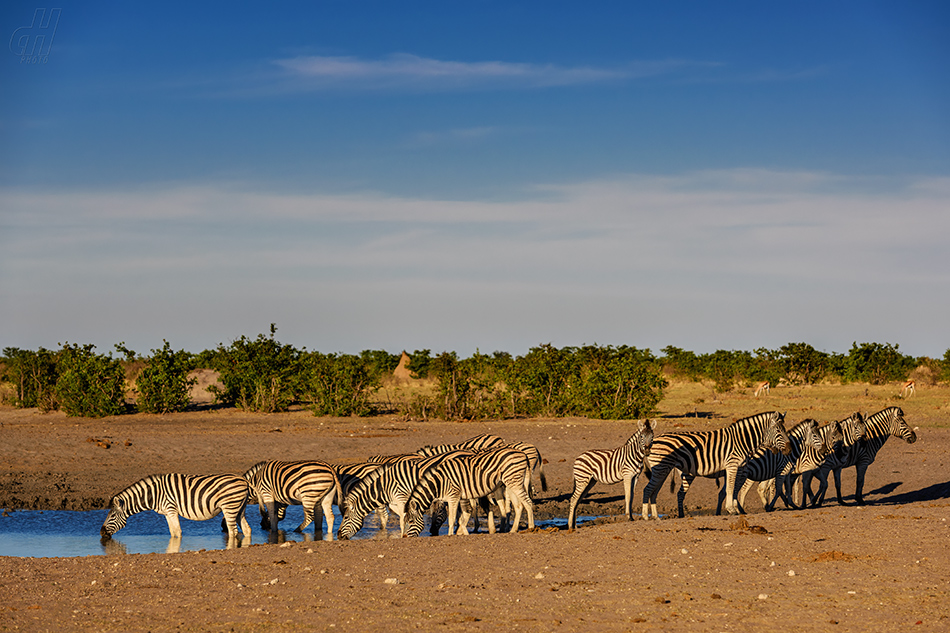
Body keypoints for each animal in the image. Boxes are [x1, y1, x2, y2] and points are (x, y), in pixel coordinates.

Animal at [101, 474, 253, 540]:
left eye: (112, 515)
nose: (101, 533)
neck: (154, 494)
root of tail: (243, 479)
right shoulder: (167, 513)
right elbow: (173, 532)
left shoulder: (171, 509)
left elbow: (178, 532)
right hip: (240, 508)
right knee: (247, 529)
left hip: (229, 506)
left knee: (233, 531)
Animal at [404, 444, 536, 540]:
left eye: (410, 521)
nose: (404, 537)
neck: (440, 482)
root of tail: (523, 454)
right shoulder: (460, 497)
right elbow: (463, 515)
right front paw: (461, 531)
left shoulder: (453, 497)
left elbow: (453, 518)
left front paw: (451, 534)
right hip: (511, 483)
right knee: (519, 506)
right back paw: (513, 530)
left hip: (515, 482)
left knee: (528, 502)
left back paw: (531, 527)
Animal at [640, 410, 796, 520]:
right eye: (778, 430)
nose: (789, 449)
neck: (742, 440)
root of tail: (653, 440)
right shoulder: (733, 465)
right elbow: (731, 488)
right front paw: (732, 509)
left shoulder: (738, 468)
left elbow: (732, 489)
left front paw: (733, 509)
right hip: (661, 468)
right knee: (648, 489)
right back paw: (646, 517)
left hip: (664, 469)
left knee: (657, 491)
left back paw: (660, 517)